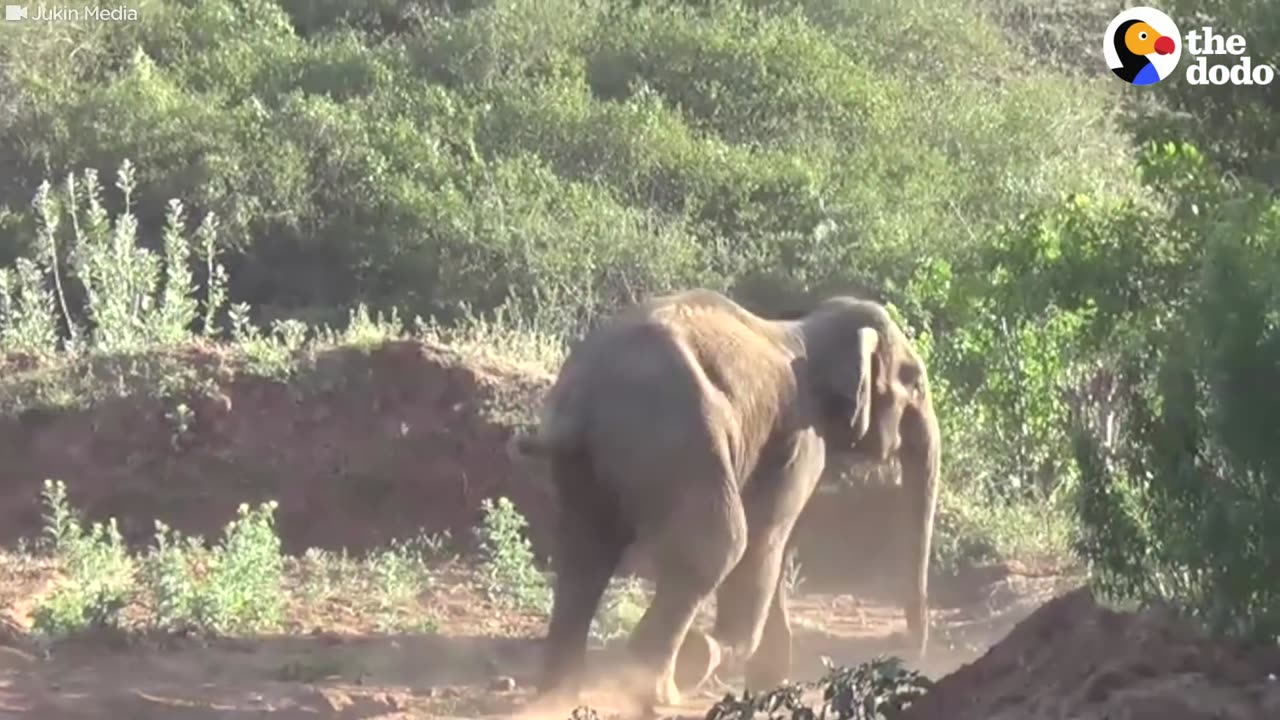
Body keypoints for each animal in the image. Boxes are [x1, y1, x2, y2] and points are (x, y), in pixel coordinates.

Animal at [514, 286, 947, 712]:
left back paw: (559, 694)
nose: (914, 656)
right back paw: (658, 691)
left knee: (584, 554)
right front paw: (714, 656)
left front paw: (769, 685)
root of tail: (581, 401)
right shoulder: (801, 438)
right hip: (679, 442)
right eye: (915, 382)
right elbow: (766, 538)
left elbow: (778, 546)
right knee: (720, 544)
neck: (806, 327)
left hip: (589, 466)